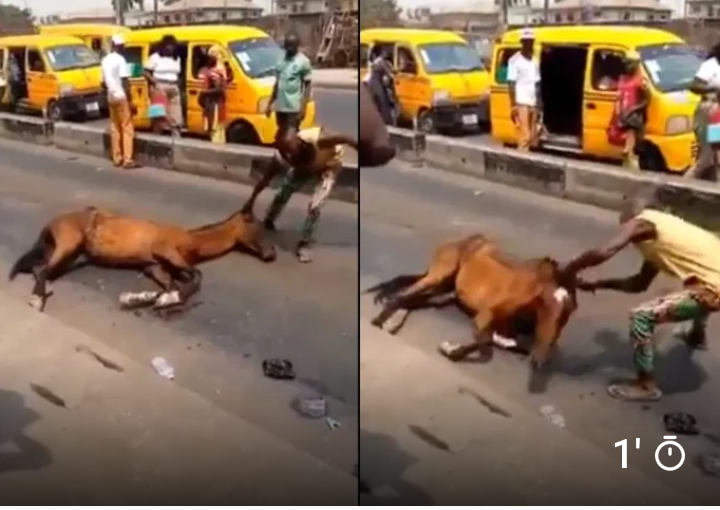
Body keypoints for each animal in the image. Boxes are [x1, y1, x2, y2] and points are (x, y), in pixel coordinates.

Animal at [9, 206, 278, 310]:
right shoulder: (166, 252)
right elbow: (197, 275)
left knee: (38, 267)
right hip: (69, 243)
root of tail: (51, 223)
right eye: (259, 228)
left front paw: (160, 299)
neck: (192, 240)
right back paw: (37, 298)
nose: (271, 254)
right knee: (42, 270)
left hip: (70, 252)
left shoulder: (155, 266)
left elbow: (171, 284)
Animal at [366, 235, 580, 366]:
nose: (539, 359)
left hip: (445, 288)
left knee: (412, 299)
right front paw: (450, 349)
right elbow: (483, 341)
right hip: (439, 275)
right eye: (545, 302)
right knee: (404, 295)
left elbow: (502, 341)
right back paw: (381, 318)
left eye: (570, 309)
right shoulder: (486, 313)